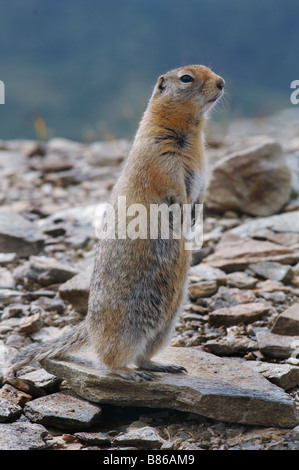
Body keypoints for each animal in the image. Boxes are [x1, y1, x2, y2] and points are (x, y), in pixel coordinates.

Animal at [8, 64, 225, 382]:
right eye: (186, 78)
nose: (222, 82)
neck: (189, 130)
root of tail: (89, 324)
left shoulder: (202, 163)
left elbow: (200, 189)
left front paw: (196, 212)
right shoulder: (161, 157)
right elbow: (175, 189)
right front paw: (185, 212)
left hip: (166, 326)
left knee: (143, 356)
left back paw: (163, 366)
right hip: (127, 328)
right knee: (111, 359)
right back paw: (129, 374)